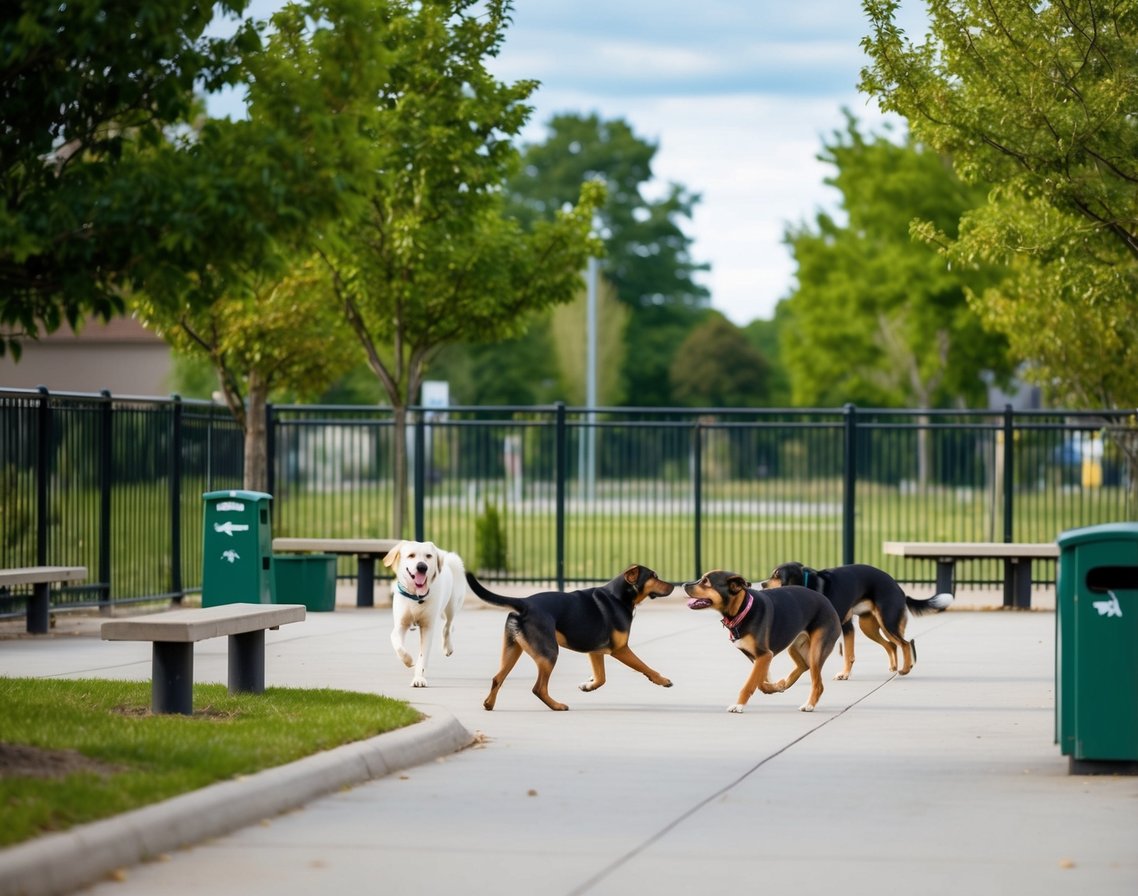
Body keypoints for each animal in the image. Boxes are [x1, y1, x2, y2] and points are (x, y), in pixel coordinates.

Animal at [382, 539, 466, 687]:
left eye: (428, 556)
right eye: (411, 555)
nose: (422, 567)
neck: (416, 597)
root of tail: (445, 556)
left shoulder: (427, 628)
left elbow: (423, 656)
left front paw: (419, 678)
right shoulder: (400, 625)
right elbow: (398, 645)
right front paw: (408, 660)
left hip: (451, 605)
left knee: (448, 626)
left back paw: (448, 647)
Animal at [464, 564, 669, 710]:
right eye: (654, 577)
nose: (672, 586)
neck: (619, 596)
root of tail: (525, 604)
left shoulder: (595, 651)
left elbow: (601, 678)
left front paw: (587, 686)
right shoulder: (620, 649)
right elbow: (644, 666)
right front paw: (663, 680)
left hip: (513, 649)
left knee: (497, 678)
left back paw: (489, 704)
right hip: (549, 653)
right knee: (538, 688)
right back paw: (557, 706)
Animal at [678, 573, 842, 714]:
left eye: (706, 582)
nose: (685, 584)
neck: (742, 609)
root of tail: (827, 602)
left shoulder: (764, 655)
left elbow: (750, 683)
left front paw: (738, 705)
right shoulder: (758, 657)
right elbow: (760, 682)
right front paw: (774, 687)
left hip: (816, 650)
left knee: (817, 683)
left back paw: (809, 705)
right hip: (794, 645)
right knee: (803, 665)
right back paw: (784, 684)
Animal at [764, 560, 951, 678]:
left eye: (777, 575)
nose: (763, 584)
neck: (808, 584)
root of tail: (899, 588)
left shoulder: (842, 627)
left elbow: (847, 654)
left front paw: (844, 675)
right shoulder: (846, 626)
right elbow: (847, 654)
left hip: (888, 622)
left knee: (904, 644)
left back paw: (905, 669)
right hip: (868, 626)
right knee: (892, 644)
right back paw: (895, 666)